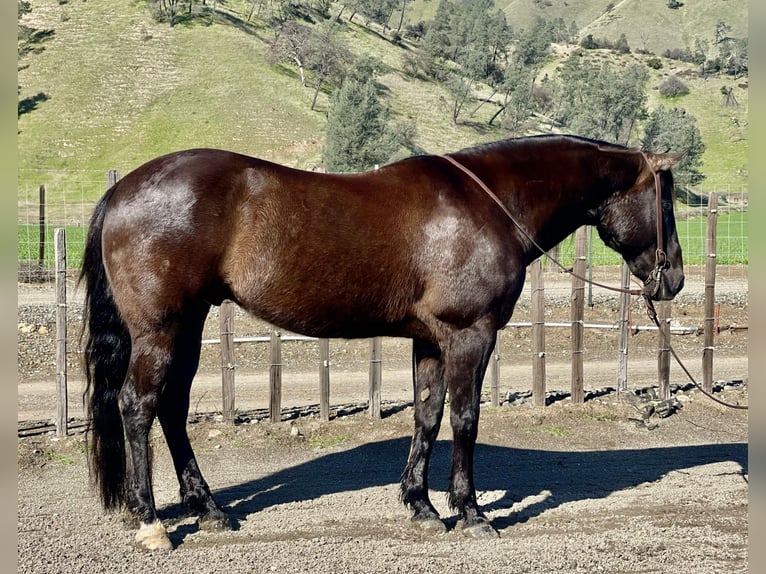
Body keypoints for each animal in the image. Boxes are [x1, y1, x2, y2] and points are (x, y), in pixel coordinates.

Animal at [81, 135, 688, 552]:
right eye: (666, 203)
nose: (675, 279)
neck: (487, 202)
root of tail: (121, 190)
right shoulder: (470, 335)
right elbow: (465, 418)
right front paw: (470, 512)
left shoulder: (431, 342)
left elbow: (428, 415)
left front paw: (420, 505)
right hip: (160, 330)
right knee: (138, 406)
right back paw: (151, 522)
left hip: (189, 325)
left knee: (172, 408)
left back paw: (207, 508)